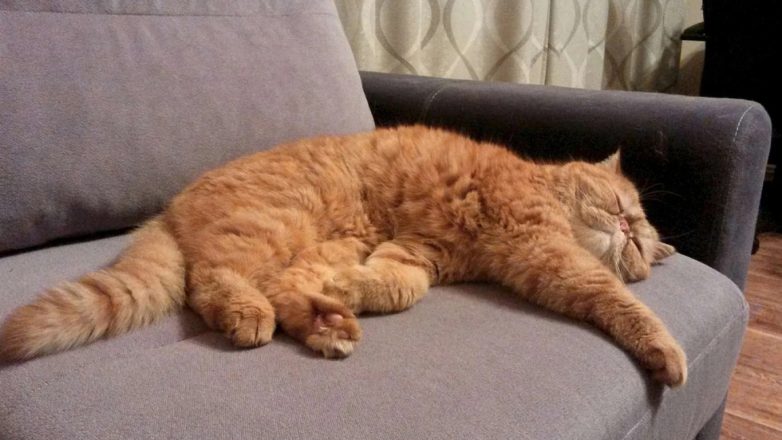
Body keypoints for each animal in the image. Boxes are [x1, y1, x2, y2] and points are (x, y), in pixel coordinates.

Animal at [0, 125, 686, 386]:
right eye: (622, 206)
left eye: (638, 240)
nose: (625, 230)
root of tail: (168, 208)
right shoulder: (542, 248)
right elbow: (614, 298)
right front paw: (665, 349)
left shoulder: (414, 253)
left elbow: (398, 286)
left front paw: (352, 290)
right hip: (281, 222)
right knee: (213, 280)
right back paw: (259, 314)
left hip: (331, 238)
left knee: (281, 285)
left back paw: (325, 319)